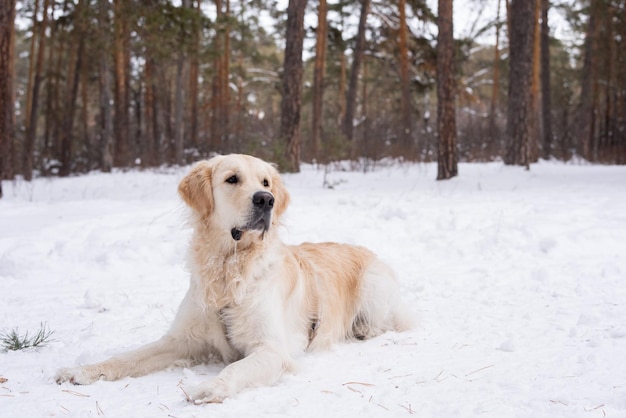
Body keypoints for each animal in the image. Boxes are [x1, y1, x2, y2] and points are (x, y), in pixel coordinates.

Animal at [56, 155, 412, 404]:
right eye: (231, 179)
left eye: (266, 182)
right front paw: (81, 370)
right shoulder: (180, 339)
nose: (266, 199)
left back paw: (364, 329)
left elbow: (236, 367)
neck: (229, 268)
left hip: (373, 283)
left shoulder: (272, 349)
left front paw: (212, 386)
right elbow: (127, 357)